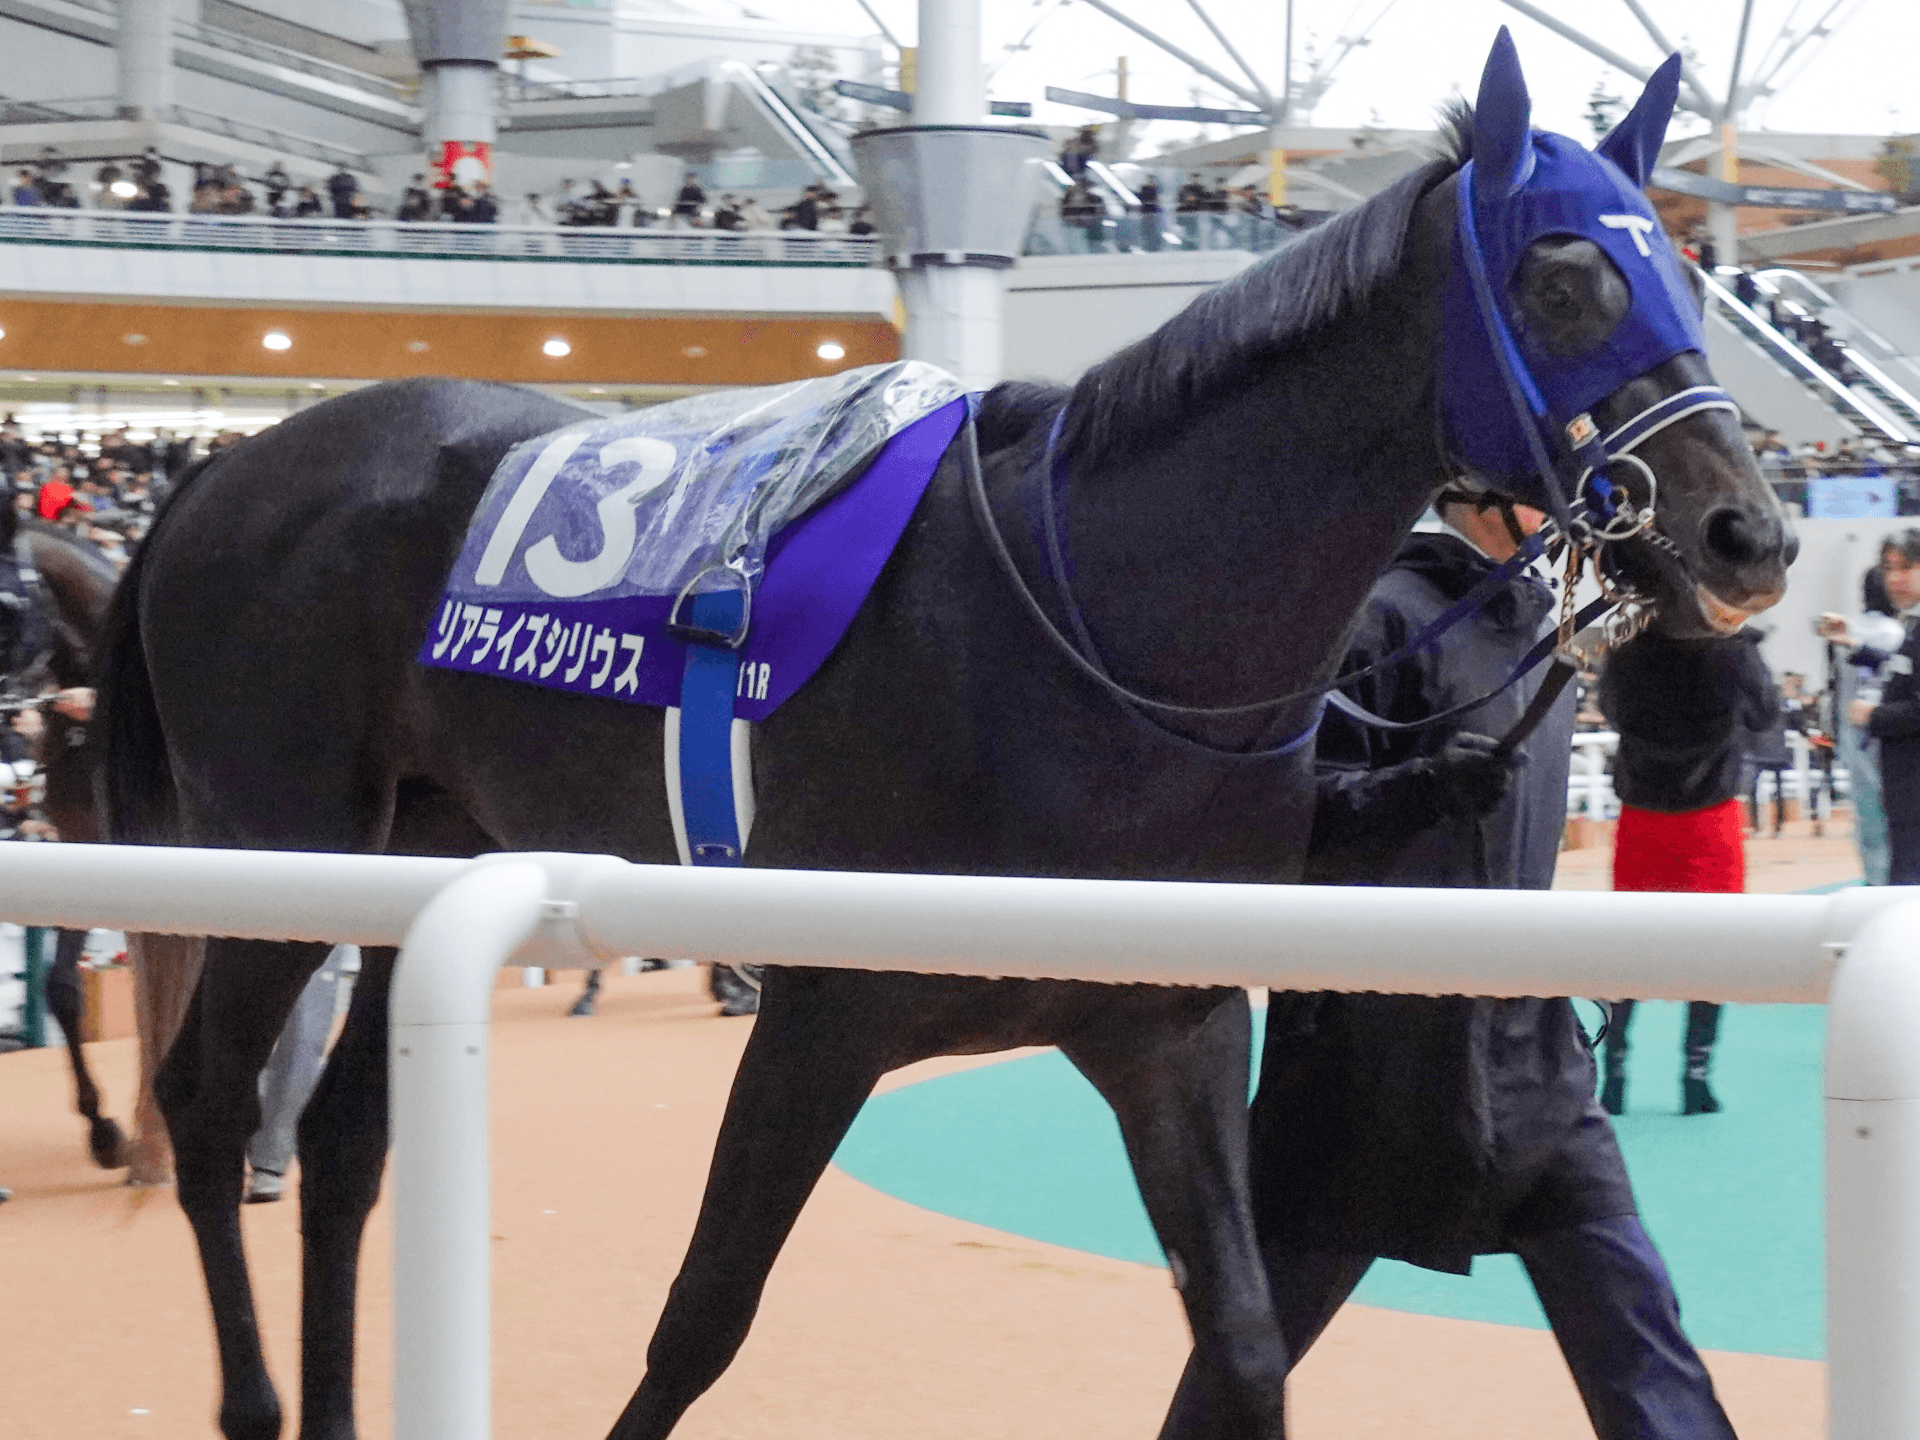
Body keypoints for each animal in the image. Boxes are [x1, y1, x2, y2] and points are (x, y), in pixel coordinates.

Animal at [96, 36, 1791, 1440]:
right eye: (1563, 276)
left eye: (1688, 273)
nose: (1750, 534)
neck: (1089, 633)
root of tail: (224, 469)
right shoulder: (823, 1014)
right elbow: (699, 1324)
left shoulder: (1167, 1031)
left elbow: (1243, 1348)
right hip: (278, 842)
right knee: (206, 1106)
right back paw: (251, 1396)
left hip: (426, 839)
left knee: (343, 1148)